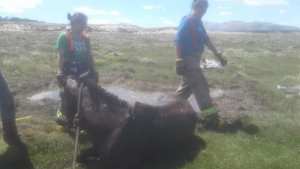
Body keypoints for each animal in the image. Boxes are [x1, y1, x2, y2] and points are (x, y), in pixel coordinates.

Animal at [63, 77, 199, 169]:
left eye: (64, 96)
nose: (63, 120)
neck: (110, 123)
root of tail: (190, 107)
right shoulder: (97, 148)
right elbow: (81, 155)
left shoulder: (124, 163)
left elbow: (95, 163)